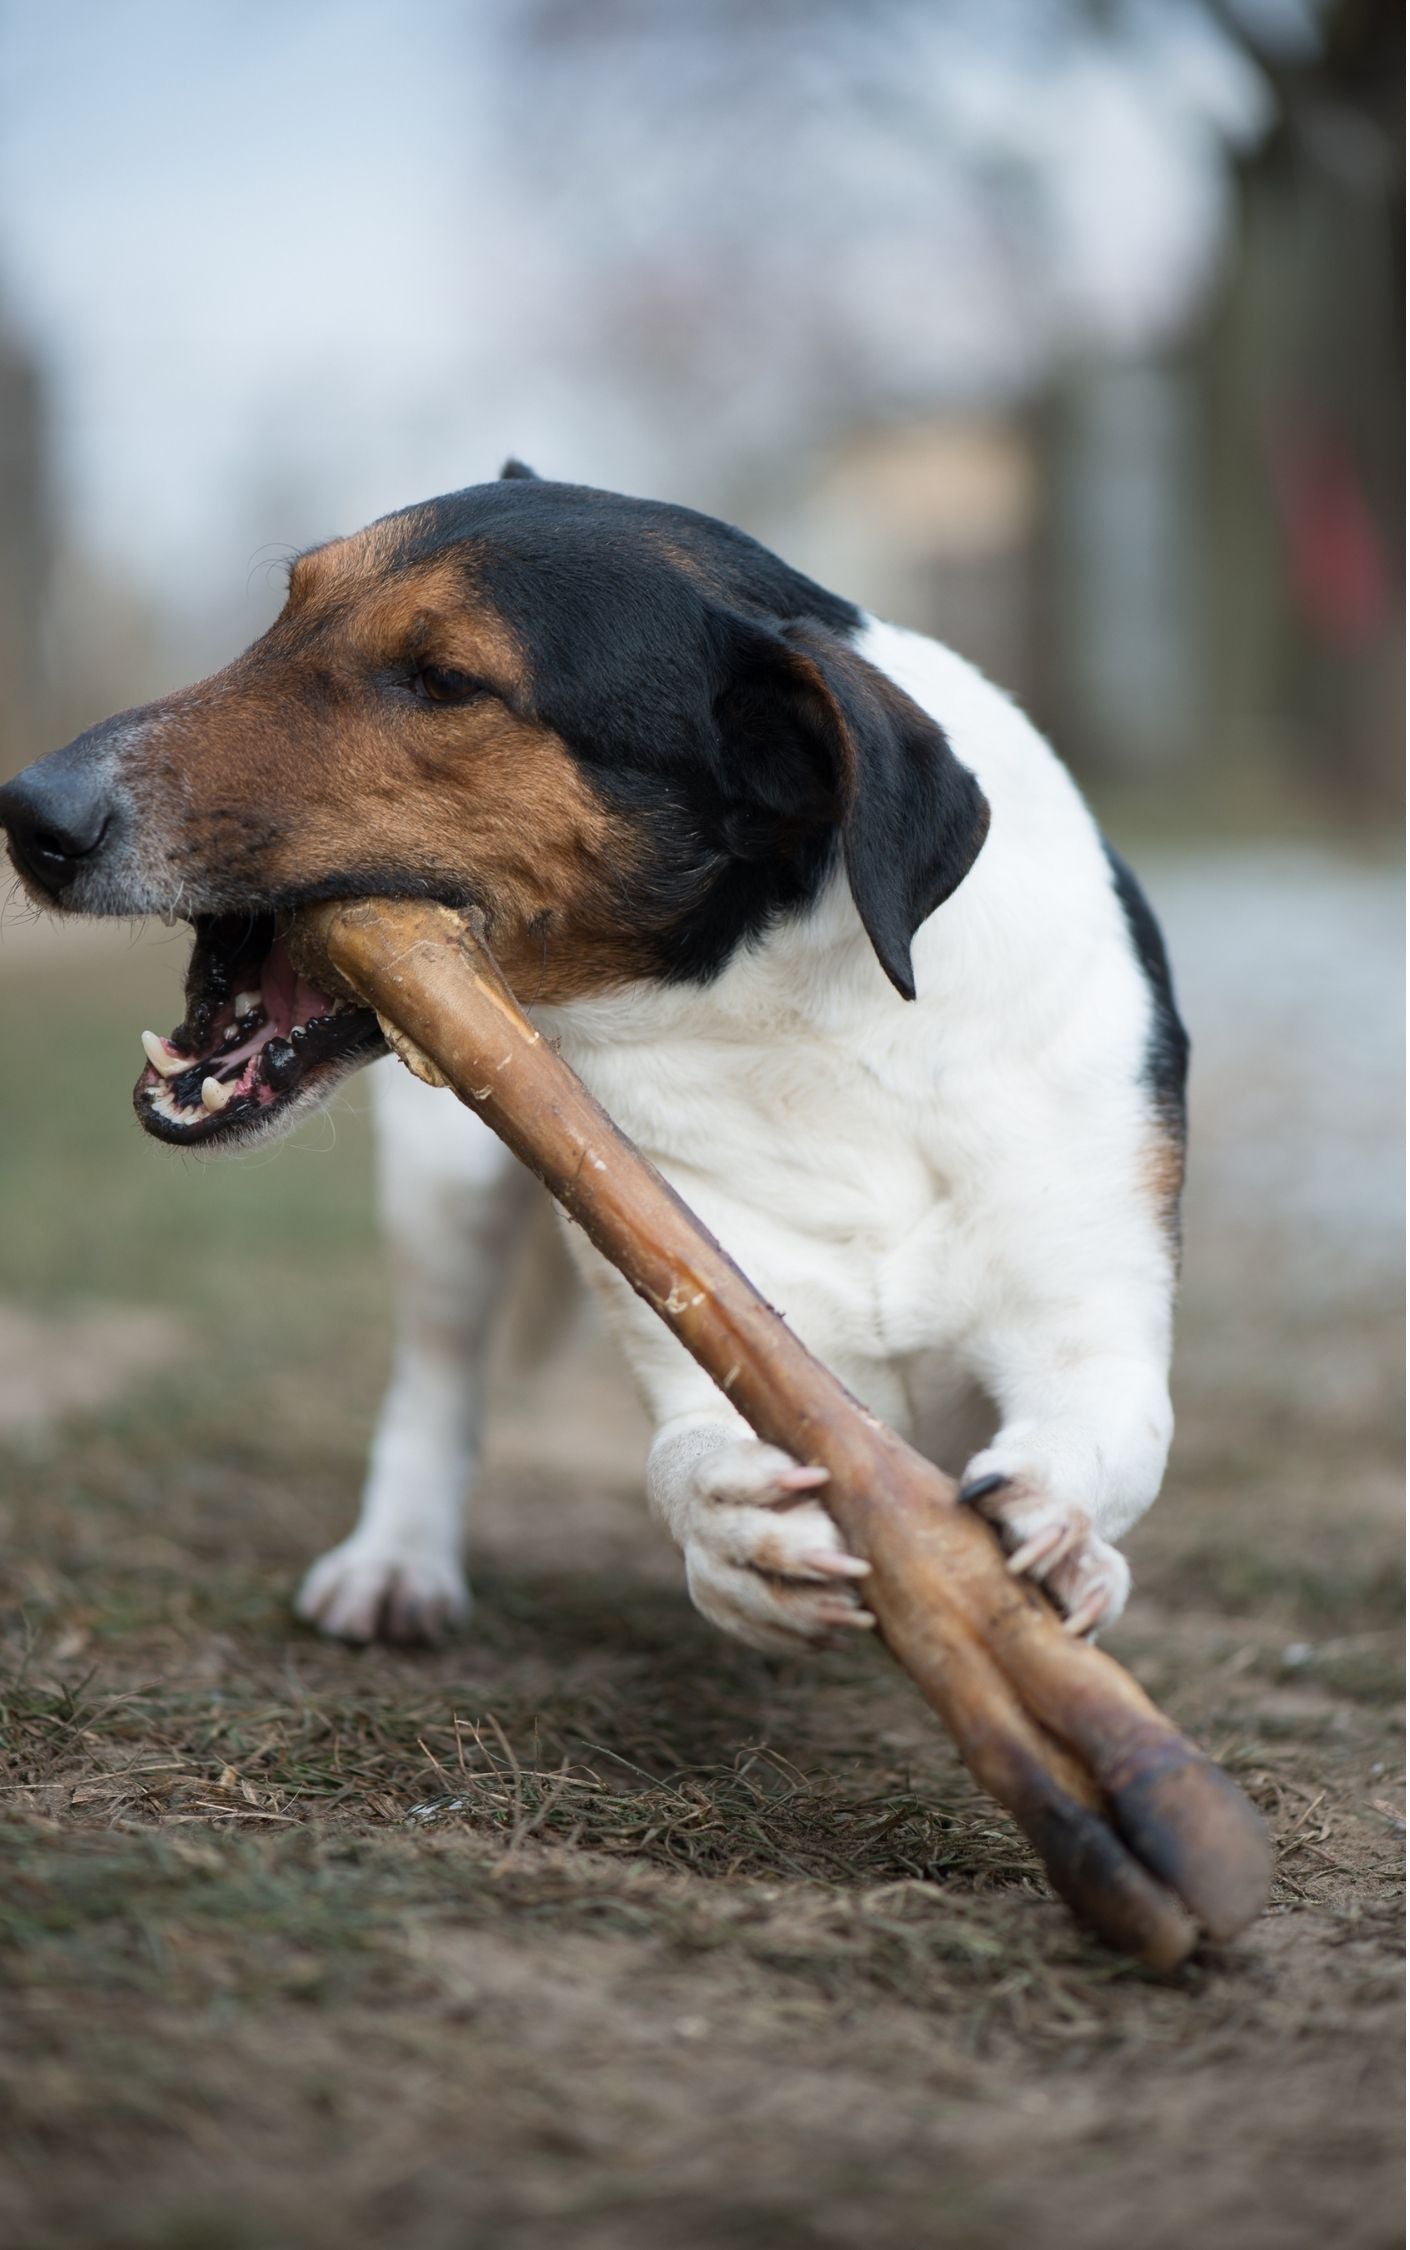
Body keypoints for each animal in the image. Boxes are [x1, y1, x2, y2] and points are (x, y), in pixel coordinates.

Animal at [0, 461, 1187, 1656]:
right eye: (286, 609)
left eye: (444, 679)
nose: (29, 815)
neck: (791, 1015)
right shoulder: (710, 1309)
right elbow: (688, 1450)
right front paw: (729, 1526)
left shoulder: (1089, 1310)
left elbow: (1111, 1427)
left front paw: (1065, 1538)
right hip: (445, 1191)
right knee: (437, 1379)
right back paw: (394, 1559)